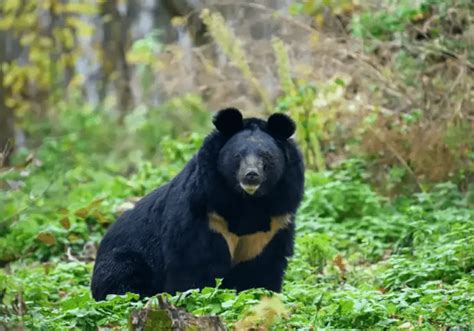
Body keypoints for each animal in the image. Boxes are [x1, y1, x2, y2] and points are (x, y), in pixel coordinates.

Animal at [90, 108, 306, 300]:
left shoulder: (271, 227)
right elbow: (195, 264)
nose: (251, 175)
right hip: (125, 258)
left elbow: (261, 269)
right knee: (122, 278)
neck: (247, 202)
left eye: (266, 157)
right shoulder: (205, 215)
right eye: (237, 156)